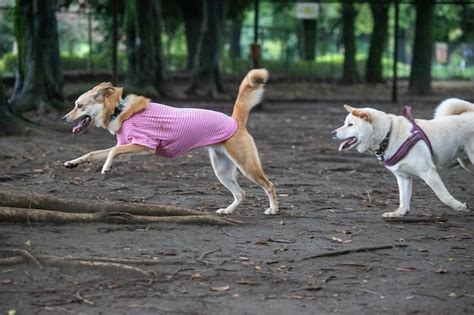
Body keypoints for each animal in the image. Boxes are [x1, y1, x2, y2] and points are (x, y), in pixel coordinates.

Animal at [62, 69, 278, 216]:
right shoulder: (127, 146)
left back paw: (273, 208)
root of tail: (235, 121)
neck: (118, 110)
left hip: (247, 166)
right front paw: (73, 162)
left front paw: (106, 167)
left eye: (79, 106)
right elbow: (94, 153)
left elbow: (113, 152)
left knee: (269, 185)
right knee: (241, 193)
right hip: (222, 170)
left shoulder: (143, 145)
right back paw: (227, 211)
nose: (63, 118)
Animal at [334, 99, 474, 217]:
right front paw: (399, 213)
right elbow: (403, 198)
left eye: (350, 124)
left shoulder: (428, 172)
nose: (333, 133)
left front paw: (460, 206)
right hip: (466, 163)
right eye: (345, 123)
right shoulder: (403, 177)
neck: (388, 135)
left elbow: (443, 196)